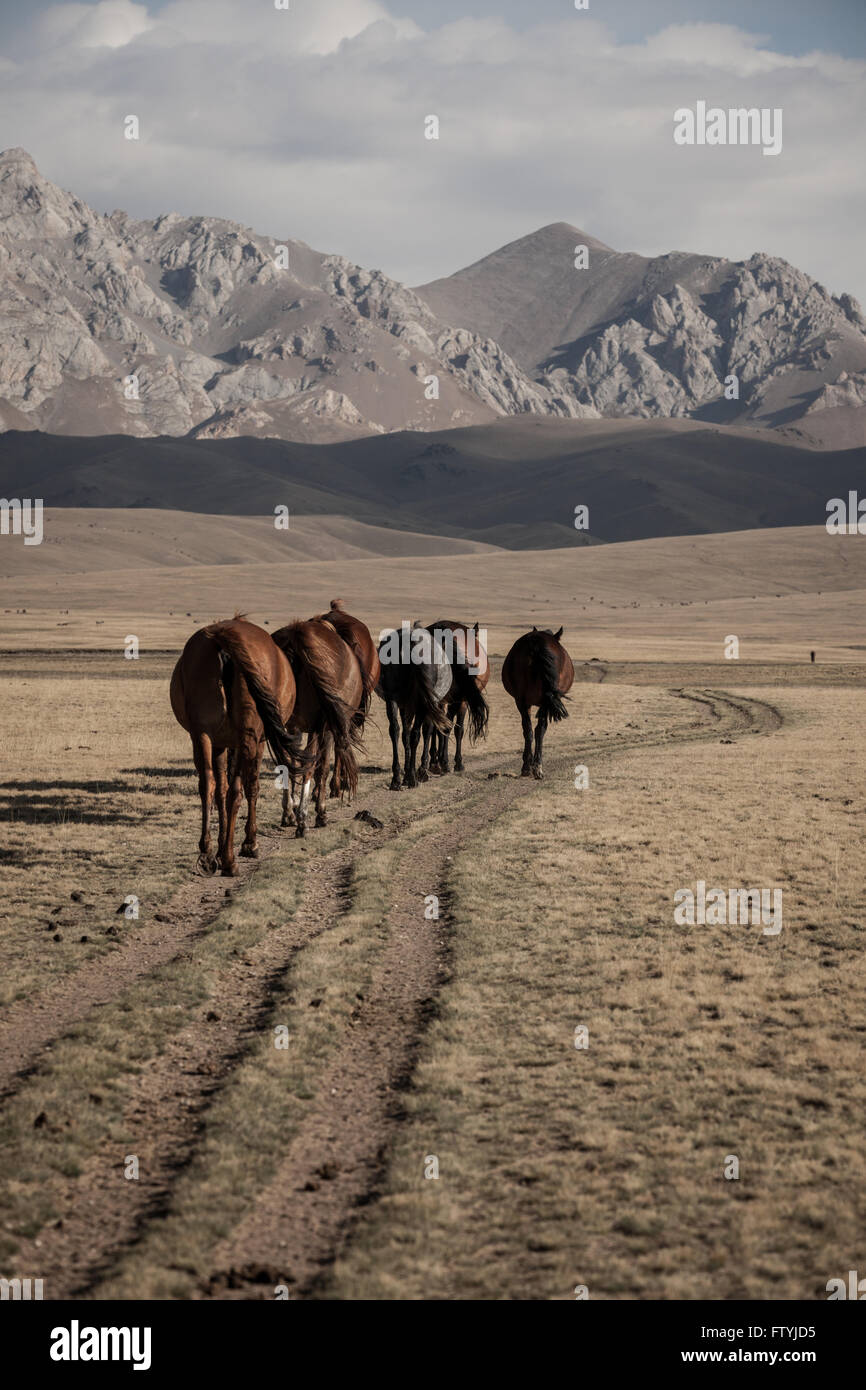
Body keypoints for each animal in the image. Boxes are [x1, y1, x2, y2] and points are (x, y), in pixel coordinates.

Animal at [170, 617, 299, 876]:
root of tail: (224, 637)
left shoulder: (220, 743)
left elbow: (219, 789)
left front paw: (218, 850)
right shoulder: (257, 741)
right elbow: (251, 787)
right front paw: (249, 844)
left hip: (201, 735)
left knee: (208, 785)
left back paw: (207, 854)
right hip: (247, 738)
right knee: (237, 791)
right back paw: (230, 860)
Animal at [270, 618, 363, 835]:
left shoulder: (293, 728)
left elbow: (292, 764)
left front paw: (291, 809)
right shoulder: (325, 728)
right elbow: (322, 768)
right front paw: (320, 812)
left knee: (287, 762)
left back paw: (290, 814)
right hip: (319, 726)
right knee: (310, 765)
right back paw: (303, 820)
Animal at [377, 621, 451, 790]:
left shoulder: (405, 706)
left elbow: (405, 734)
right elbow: (426, 731)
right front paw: (422, 771)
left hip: (392, 699)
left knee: (395, 730)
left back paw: (397, 779)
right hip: (422, 704)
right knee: (416, 734)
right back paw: (412, 778)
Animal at [419, 620, 489, 779]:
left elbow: (438, 728)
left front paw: (435, 761)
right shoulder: (461, 701)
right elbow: (457, 730)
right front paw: (456, 762)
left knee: (429, 728)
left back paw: (426, 767)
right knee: (445, 727)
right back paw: (442, 764)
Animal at [501, 626, 574, 778]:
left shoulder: (525, 702)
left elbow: (529, 729)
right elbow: (539, 729)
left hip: (524, 701)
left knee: (529, 730)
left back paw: (530, 767)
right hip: (541, 701)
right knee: (538, 730)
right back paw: (535, 767)